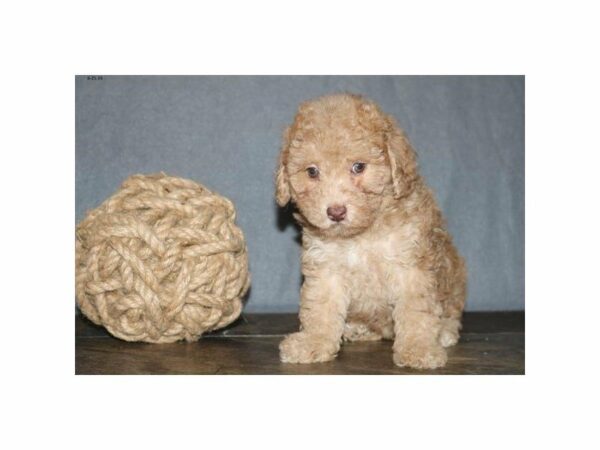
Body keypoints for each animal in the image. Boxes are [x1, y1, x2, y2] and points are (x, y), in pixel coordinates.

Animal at [274, 92, 466, 370]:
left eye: (358, 167)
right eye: (312, 171)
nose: (335, 212)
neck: (363, 233)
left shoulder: (412, 266)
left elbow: (416, 310)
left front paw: (418, 348)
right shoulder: (325, 266)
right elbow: (320, 307)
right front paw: (314, 341)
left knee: (451, 312)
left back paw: (445, 332)